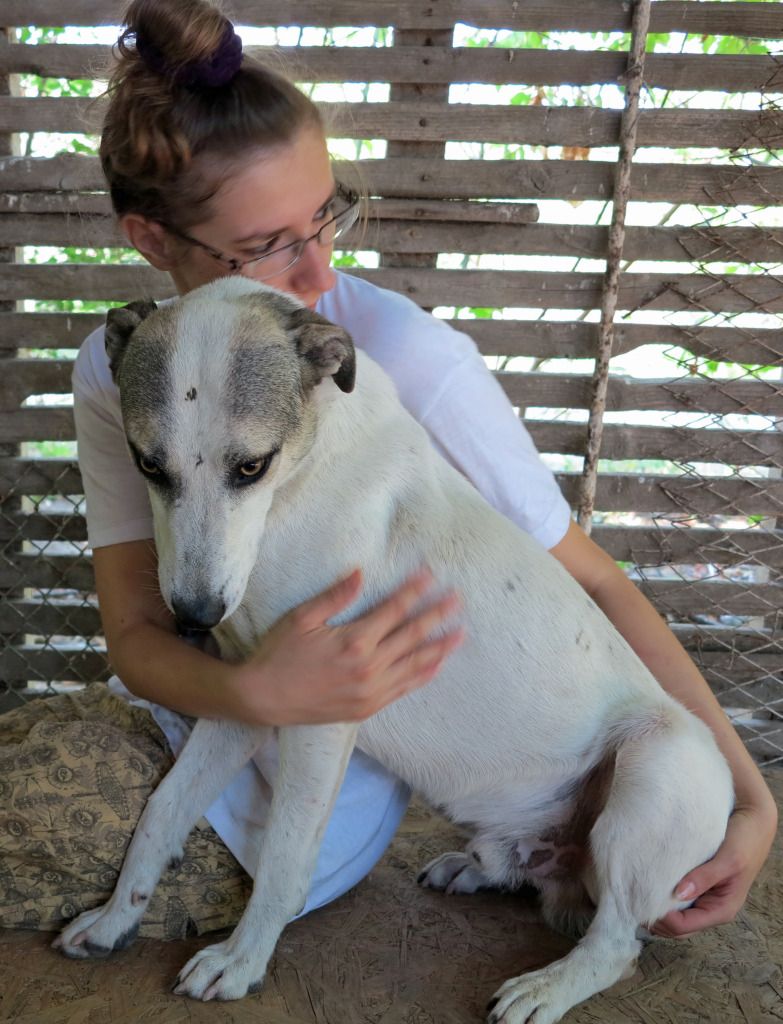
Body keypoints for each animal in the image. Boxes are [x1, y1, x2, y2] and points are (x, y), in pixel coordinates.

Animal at [55, 280, 732, 1024]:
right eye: (149, 464)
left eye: (251, 466)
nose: (192, 618)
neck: (299, 481)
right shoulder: (250, 694)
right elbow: (161, 811)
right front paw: (116, 919)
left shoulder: (322, 712)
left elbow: (285, 857)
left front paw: (240, 960)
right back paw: (475, 870)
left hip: (655, 765)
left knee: (616, 945)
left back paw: (545, 988)